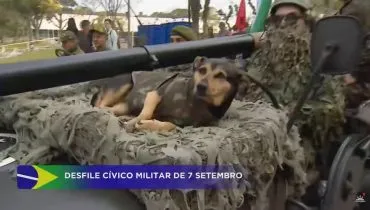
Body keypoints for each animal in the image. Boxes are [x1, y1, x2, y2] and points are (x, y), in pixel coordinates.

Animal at [90, 56, 246, 132]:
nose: (201, 86)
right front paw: (135, 122)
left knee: (111, 109)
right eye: (202, 70)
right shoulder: (154, 93)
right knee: (99, 106)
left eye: (221, 76)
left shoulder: (184, 124)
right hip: (124, 84)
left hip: (123, 106)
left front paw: (148, 124)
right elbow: (146, 113)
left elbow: (171, 126)